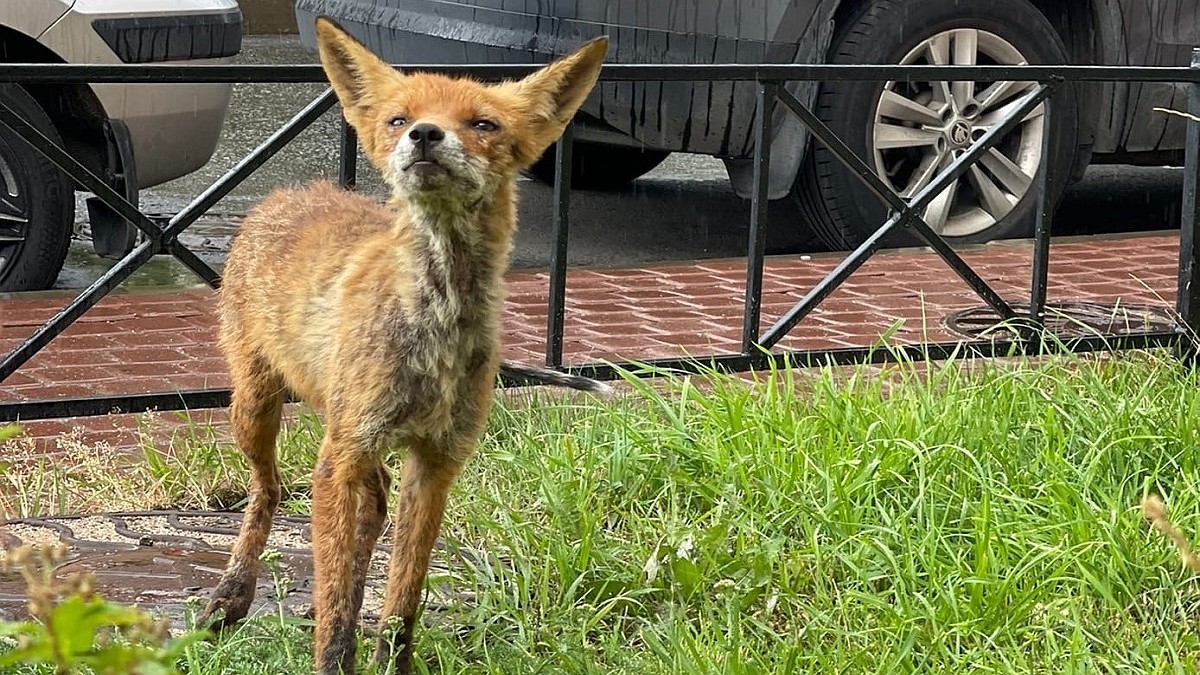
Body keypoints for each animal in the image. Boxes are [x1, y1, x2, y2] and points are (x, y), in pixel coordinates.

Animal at [199, 17, 609, 672]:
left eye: (483, 124)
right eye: (398, 118)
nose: (424, 134)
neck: (435, 322)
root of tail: (291, 190)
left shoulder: (437, 460)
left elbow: (403, 596)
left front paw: (390, 656)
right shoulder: (341, 457)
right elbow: (336, 608)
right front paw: (335, 652)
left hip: (349, 437)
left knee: (371, 508)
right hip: (261, 410)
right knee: (268, 492)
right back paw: (231, 595)